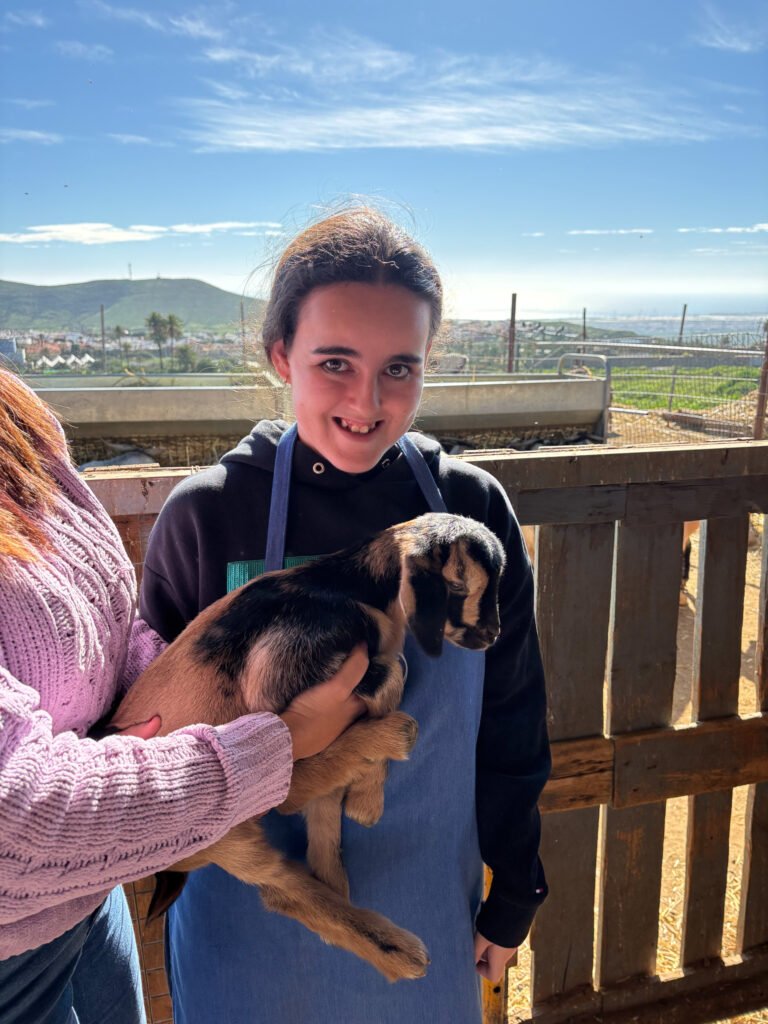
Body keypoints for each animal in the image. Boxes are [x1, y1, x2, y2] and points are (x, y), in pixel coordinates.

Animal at [107, 511, 506, 982]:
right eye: (459, 586)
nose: (492, 635)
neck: (350, 585)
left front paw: (363, 795)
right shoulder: (278, 671)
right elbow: (392, 673)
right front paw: (367, 799)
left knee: (285, 887)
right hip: (218, 827)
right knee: (284, 812)